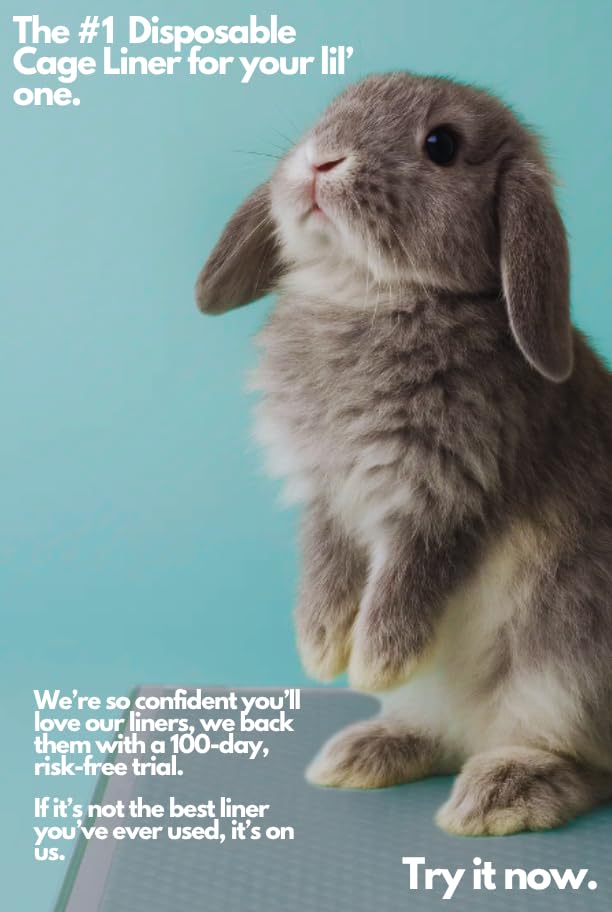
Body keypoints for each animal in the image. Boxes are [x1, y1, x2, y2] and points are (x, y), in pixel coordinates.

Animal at [195, 72, 612, 836]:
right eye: (331, 109)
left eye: (441, 144)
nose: (321, 160)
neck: (369, 296)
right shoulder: (328, 498)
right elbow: (325, 572)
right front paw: (322, 651)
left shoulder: (446, 500)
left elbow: (407, 586)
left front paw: (371, 666)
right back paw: (366, 751)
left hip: (564, 662)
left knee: (581, 762)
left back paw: (502, 792)